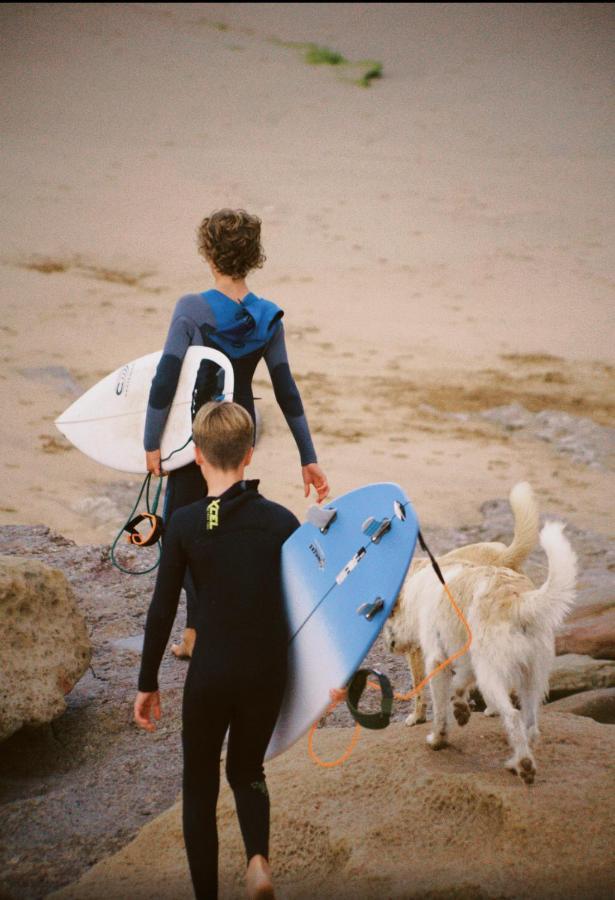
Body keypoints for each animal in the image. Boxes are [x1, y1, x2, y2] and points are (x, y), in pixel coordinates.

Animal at [384, 520, 576, 780]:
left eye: (387, 616)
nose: (387, 644)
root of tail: (518, 599)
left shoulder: (436, 661)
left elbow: (439, 708)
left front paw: (437, 739)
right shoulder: (466, 656)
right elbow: (460, 684)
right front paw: (461, 707)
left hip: (492, 674)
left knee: (513, 716)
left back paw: (524, 764)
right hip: (529, 676)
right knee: (531, 724)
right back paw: (516, 760)